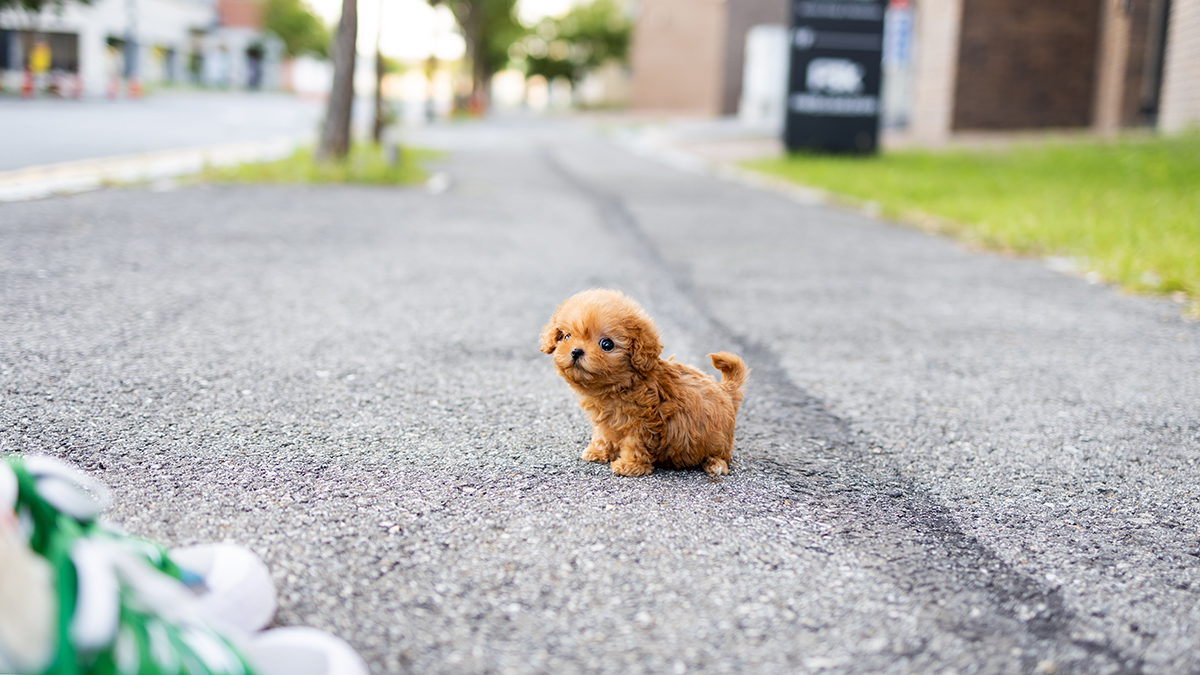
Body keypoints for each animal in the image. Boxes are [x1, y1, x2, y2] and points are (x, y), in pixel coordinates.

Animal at [540, 285, 744, 475]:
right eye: (566, 336)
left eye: (607, 344)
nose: (576, 351)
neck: (618, 387)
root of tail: (727, 391)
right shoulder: (606, 420)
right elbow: (603, 435)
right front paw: (598, 452)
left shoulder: (643, 423)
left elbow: (635, 444)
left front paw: (628, 466)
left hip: (718, 438)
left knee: (723, 455)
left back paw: (715, 464)